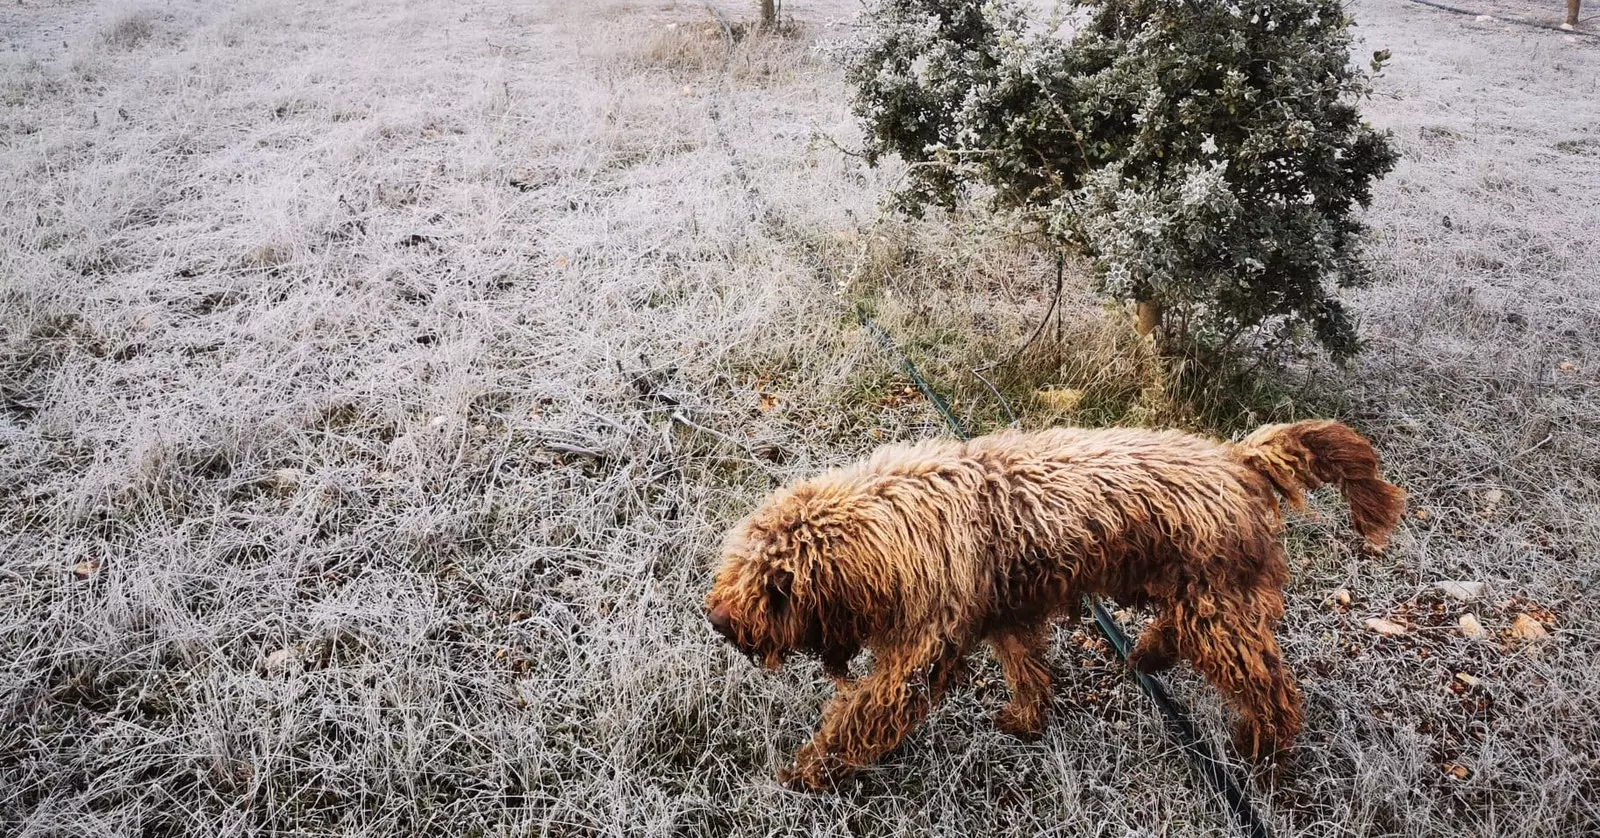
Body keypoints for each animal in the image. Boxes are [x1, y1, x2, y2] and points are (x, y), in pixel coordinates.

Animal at [707, 422, 1408, 790]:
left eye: (774, 588)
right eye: (738, 565)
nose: (718, 622)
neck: (901, 525)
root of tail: (1241, 461)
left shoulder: (922, 649)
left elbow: (863, 714)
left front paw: (808, 771)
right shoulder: (1006, 614)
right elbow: (1026, 668)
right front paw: (1027, 719)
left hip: (1219, 608)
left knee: (1270, 687)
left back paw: (1262, 749)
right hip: (1204, 599)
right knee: (1186, 637)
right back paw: (1150, 653)